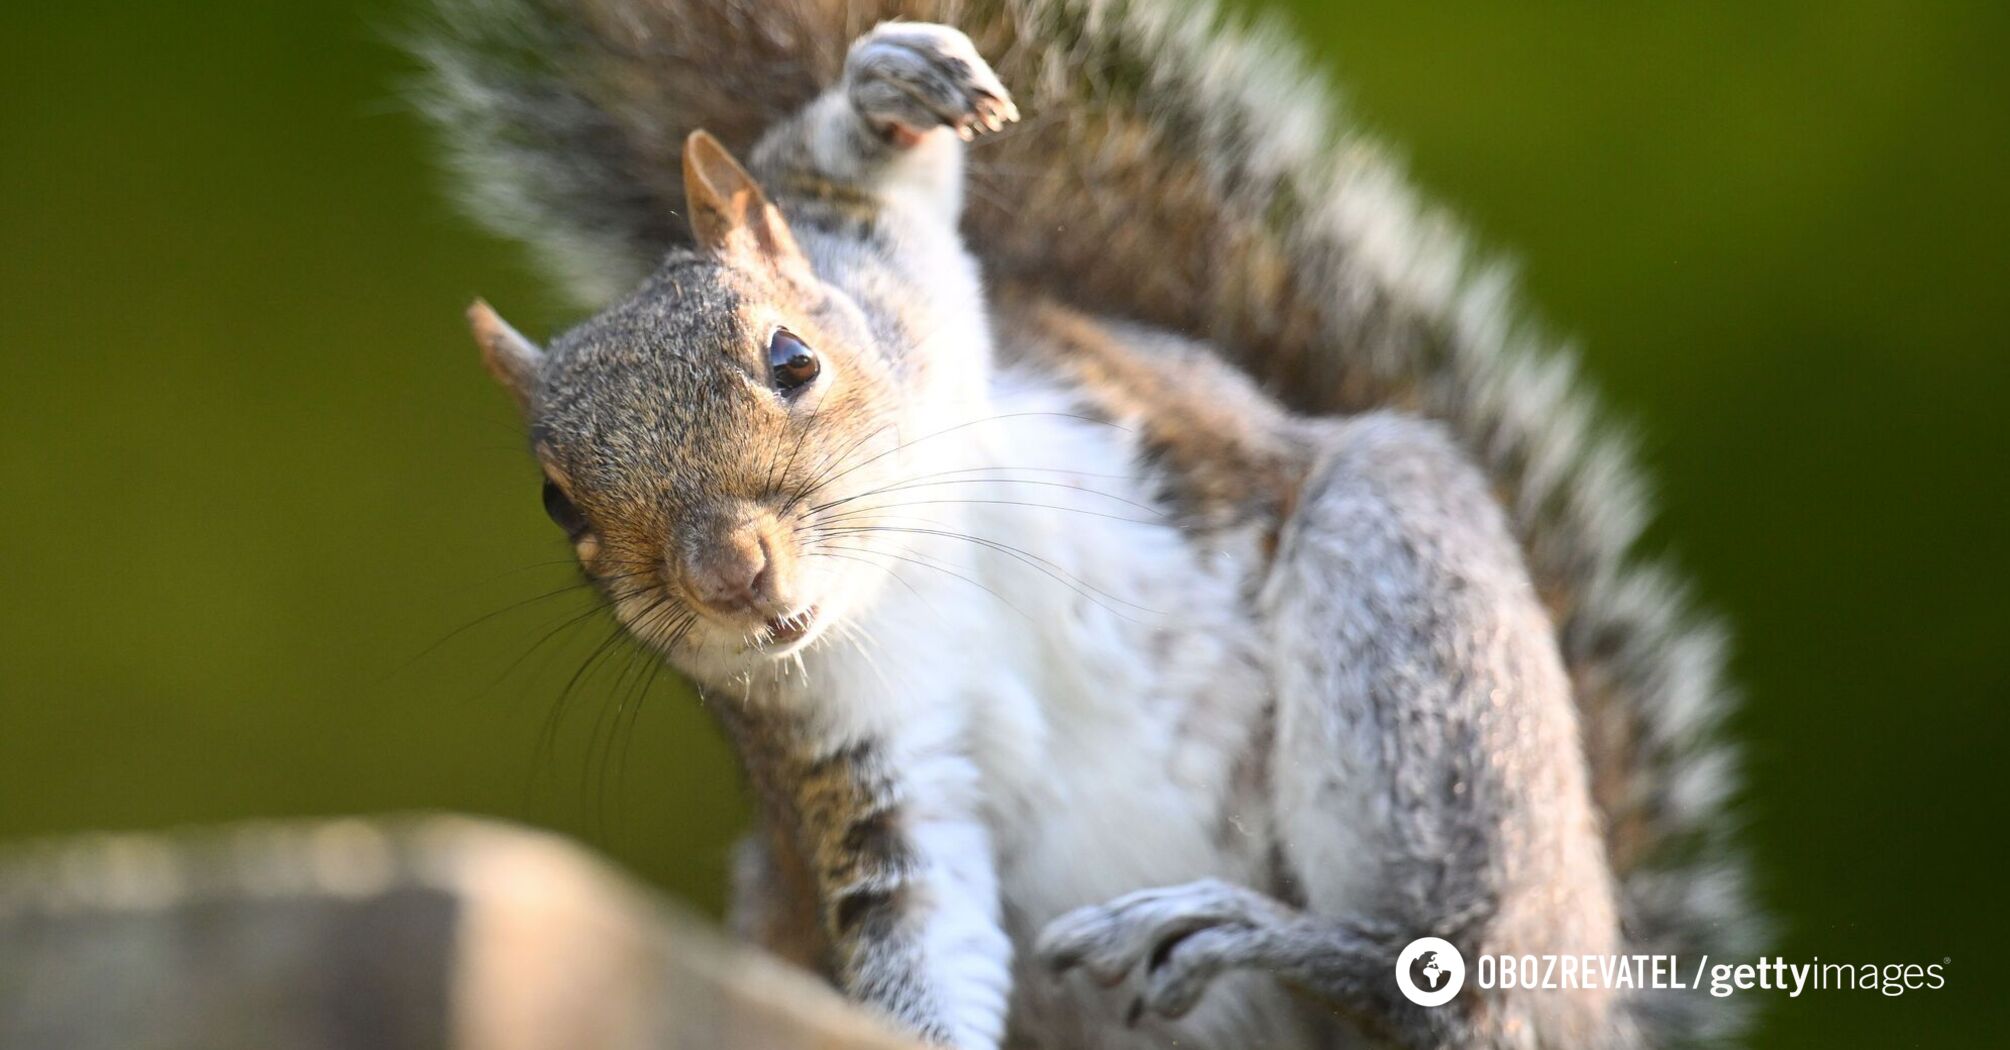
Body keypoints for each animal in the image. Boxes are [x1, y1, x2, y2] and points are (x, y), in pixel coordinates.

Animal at [412, 2, 1760, 1045]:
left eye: (793, 358)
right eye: (559, 503)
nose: (730, 572)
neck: (905, 575)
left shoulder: (907, 294)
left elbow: (861, 192)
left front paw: (884, 93)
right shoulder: (857, 750)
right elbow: (917, 923)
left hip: (1413, 618)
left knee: (1459, 992)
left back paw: (1260, 935)